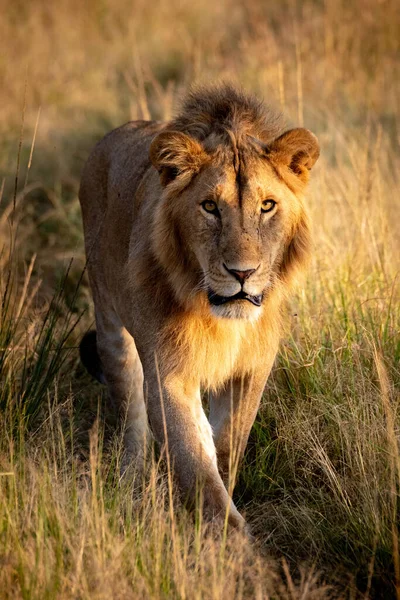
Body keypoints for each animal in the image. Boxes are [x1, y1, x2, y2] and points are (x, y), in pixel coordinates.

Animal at [79, 84, 320, 528]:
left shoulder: (253, 368)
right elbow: (196, 464)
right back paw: (130, 482)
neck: (222, 320)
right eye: (210, 206)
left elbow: (225, 448)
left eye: (267, 206)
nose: (242, 273)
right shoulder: (168, 371)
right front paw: (231, 540)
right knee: (131, 417)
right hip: (110, 324)